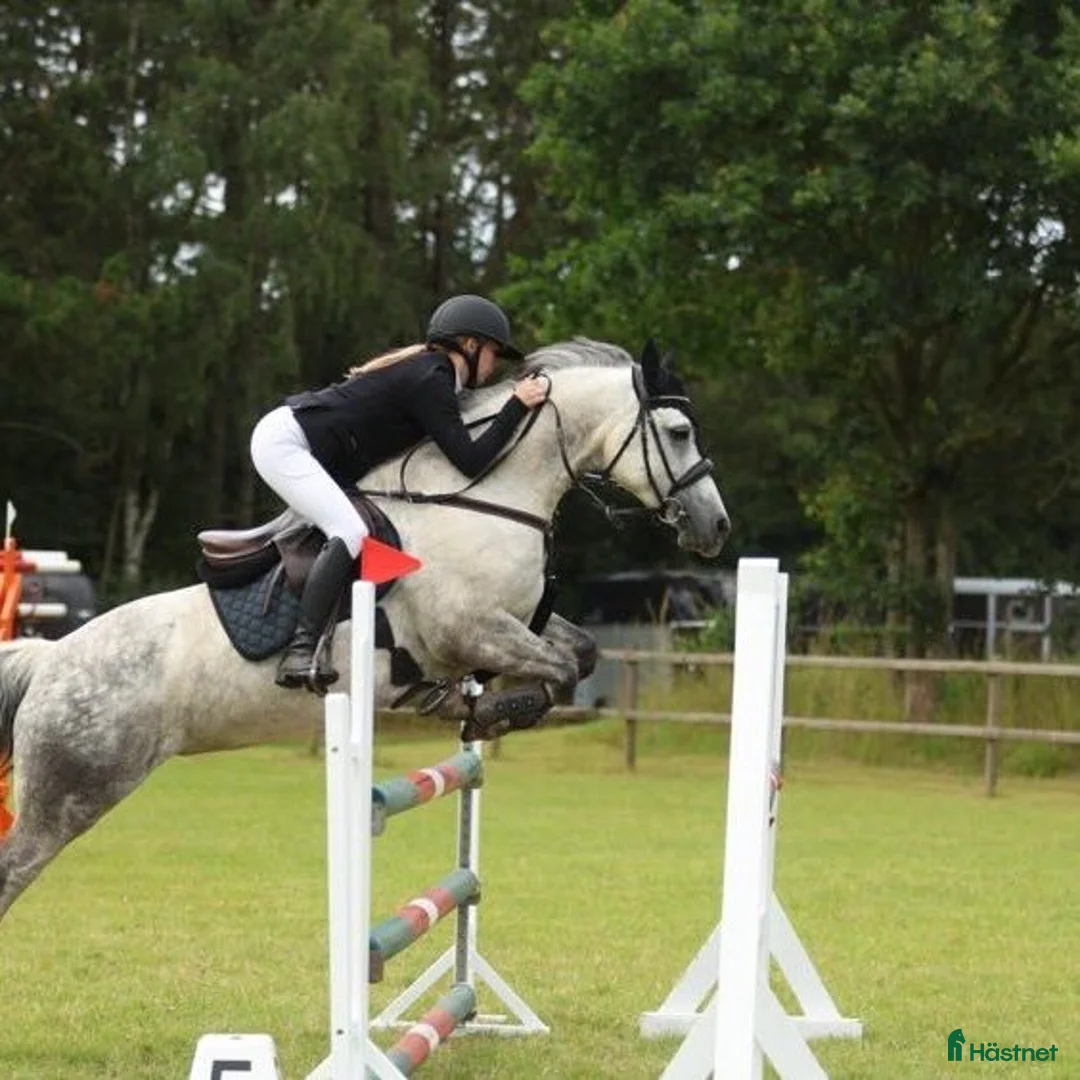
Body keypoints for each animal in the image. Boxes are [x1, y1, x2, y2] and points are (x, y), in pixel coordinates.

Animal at [0, 337, 729, 921]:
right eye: (679, 432)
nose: (715, 527)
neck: (487, 497)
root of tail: (50, 660)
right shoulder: (470, 628)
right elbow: (558, 671)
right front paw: (490, 711)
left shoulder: (514, 622)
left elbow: (580, 651)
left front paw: (474, 707)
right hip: (72, 791)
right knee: (13, 870)